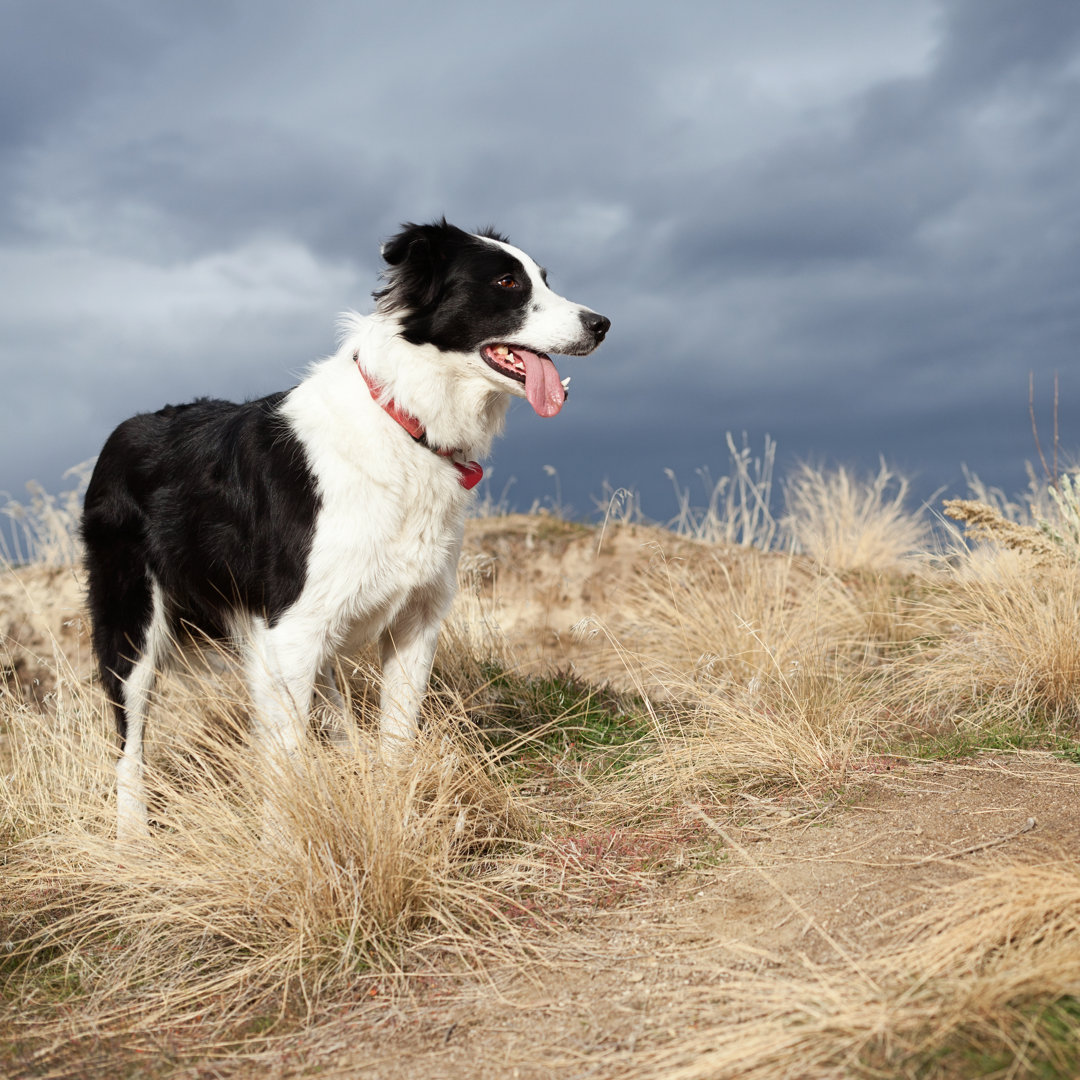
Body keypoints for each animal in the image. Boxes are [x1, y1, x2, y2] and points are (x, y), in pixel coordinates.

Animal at [82, 219, 609, 838]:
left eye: (544, 278)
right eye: (506, 281)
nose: (601, 324)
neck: (406, 421)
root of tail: (124, 429)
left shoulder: (413, 618)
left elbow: (396, 737)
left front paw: (392, 813)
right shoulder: (289, 631)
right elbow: (287, 763)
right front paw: (286, 843)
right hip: (133, 624)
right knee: (130, 743)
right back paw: (132, 838)